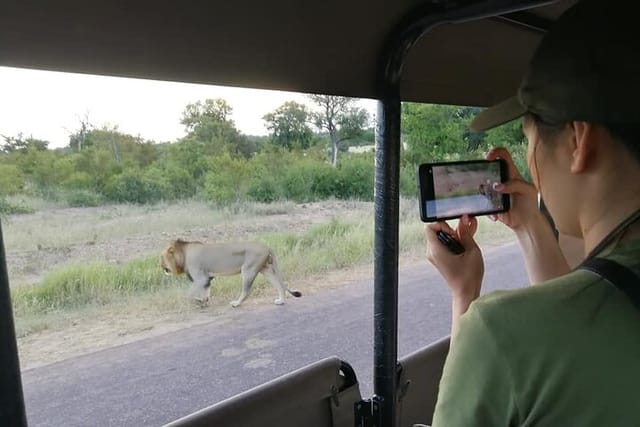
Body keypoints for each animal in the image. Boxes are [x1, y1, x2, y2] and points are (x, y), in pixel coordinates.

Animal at [159, 241, 302, 308]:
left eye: (161, 258)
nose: (161, 267)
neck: (183, 254)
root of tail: (266, 246)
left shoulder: (200, 278)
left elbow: (189, 295)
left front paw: (199, 302)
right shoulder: (207, 279)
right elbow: (206, 292)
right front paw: (204, 302)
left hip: (248, 269)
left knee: (247, 290)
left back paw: (236, 303)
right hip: (266, 269)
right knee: (279, 285)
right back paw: (281, 301)